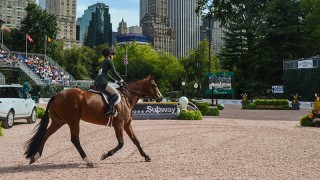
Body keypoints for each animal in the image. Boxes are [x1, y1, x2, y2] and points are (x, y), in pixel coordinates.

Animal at [24, 75, 164, 167]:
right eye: (155, 85)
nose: (160, 98)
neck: (127, 97)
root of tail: (56, 95)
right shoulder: (118, 124)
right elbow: (121, 143)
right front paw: (105, 155)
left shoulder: (127, 124)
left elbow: (136, 140)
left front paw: (146, 156)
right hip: (73, 120)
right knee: (75, 139)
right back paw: (88, 161)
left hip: (59, 121)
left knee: (46, 134)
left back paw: (35, 157)